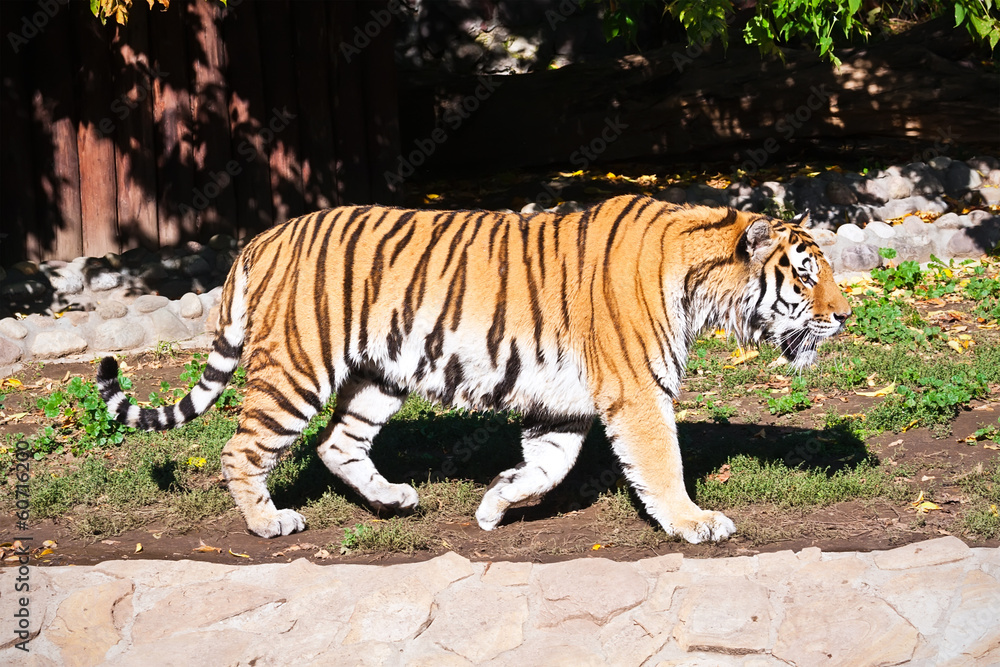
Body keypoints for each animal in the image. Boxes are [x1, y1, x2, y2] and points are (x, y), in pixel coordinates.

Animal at [96, 195, 850, 544]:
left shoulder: (563, 406)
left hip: (378, 377)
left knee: (337, 443)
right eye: (806, 276)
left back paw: (395, 499)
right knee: (241, 448)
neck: (700, 283)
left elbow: (547, 469)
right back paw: (268, 521)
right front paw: (696, 523)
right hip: (296, 368)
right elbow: (663, 464)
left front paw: (493, 504)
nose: (845, 315)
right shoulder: (638, 393)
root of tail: (262, 236)